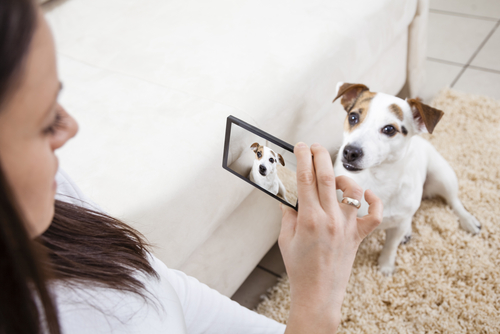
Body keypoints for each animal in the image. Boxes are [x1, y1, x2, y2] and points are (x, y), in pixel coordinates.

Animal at [332, 82, 480, 276]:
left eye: (389, 129)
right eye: (353, 117)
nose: (350, 152)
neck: (374, 179)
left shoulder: (397, 227)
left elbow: (390, 246)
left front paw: (385, 266)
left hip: (442, 176)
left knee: (453, 201)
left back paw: (468, 220)